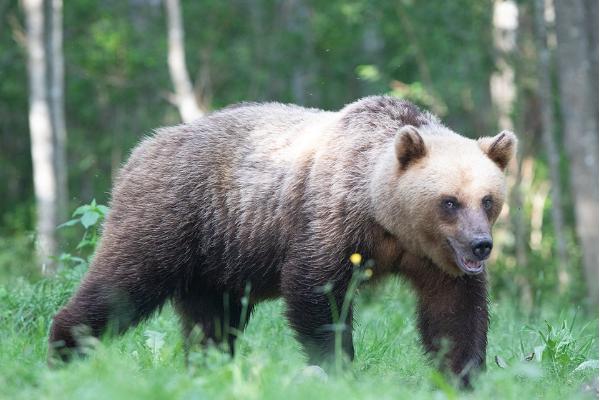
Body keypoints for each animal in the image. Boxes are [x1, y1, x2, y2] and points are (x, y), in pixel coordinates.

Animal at [49, 95, 516, 386]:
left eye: (488, 199)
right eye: (449, 201)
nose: (481, 245)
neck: (387, 219)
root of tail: (141, 148)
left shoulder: (434, 259)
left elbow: (454, 312)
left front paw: (463, 374)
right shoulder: (332, 217)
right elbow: (315, 290)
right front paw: (339, 367)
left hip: (216, 257)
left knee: (212, 322)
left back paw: (208, 368)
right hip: (173, 215)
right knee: (122, 285)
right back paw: (62, 348)